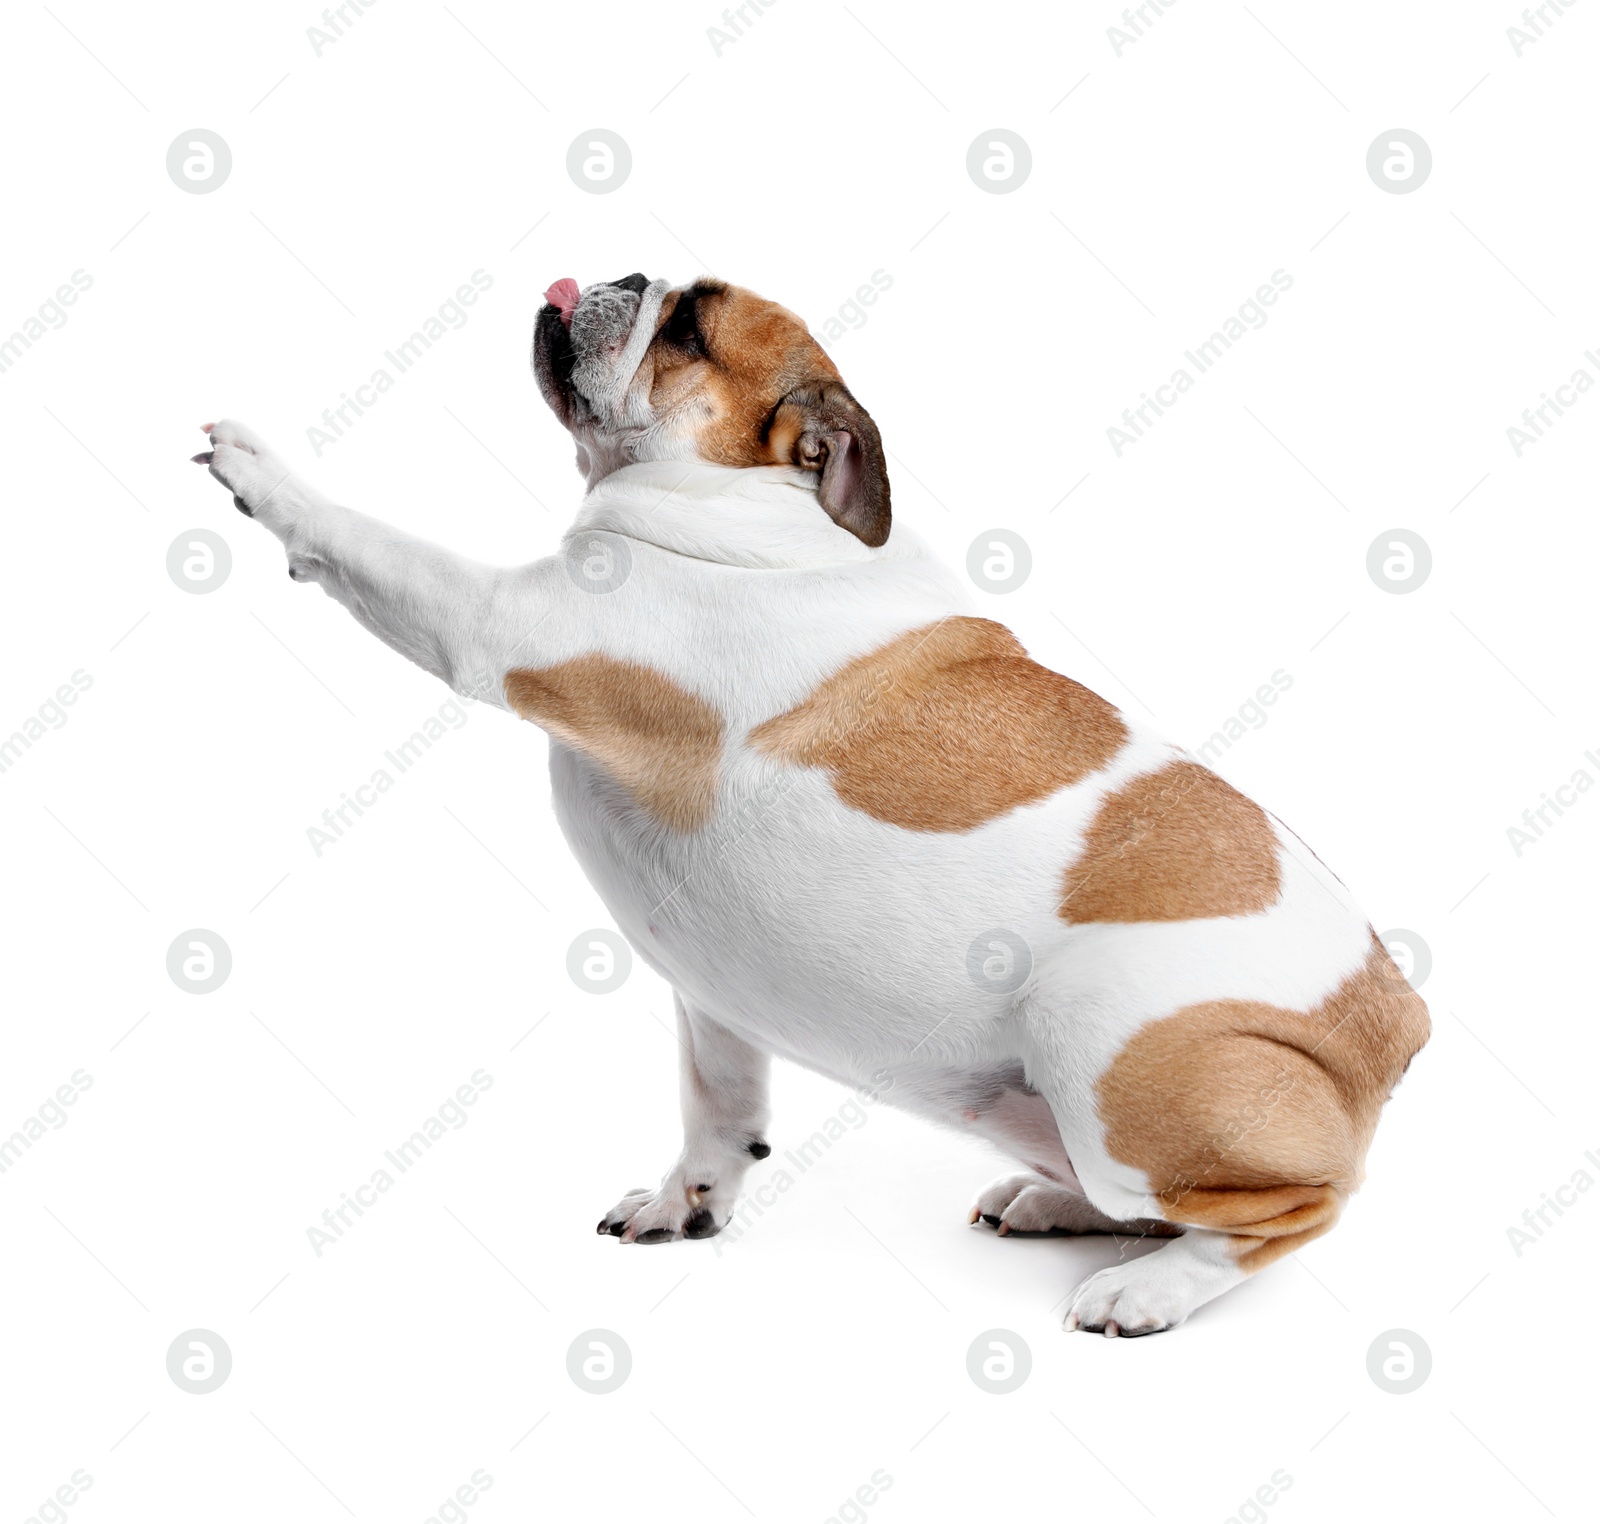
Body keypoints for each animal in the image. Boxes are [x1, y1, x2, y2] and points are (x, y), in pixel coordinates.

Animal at [193, 270, 1433, 1331]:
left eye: (690, 325)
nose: (619, 275)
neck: (755, 498)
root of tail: (1395, 1021)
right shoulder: (714, 1002)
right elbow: (718, 1109)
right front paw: (687, 1202)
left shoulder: (499, 626)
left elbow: (373, 546)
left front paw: (261, 473)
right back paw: (1056, 1205)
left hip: (1101, 1038)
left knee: (1282, 1213)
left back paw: (1147, 1288)